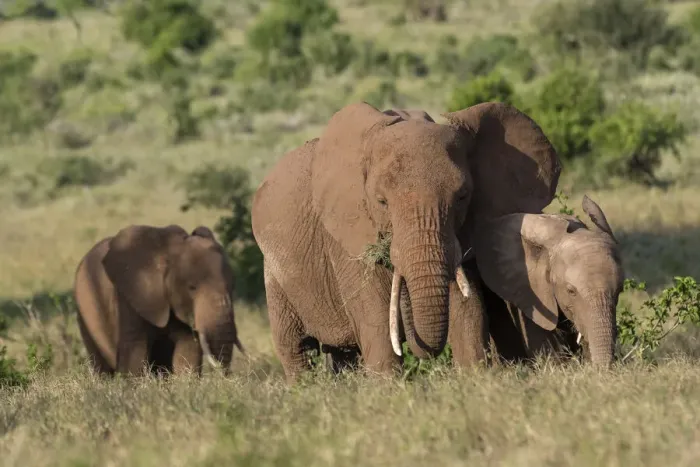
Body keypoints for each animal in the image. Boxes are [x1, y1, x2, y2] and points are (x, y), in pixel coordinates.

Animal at [73, 224, 245, 377]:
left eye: (233, 286)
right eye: (192, 287)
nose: (226, 375)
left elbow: (188, 350)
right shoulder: (131, 294)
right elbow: (135, 351)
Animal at [252, 100, 562, 382]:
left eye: (462, 196)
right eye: (381, 201)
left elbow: (467, 308)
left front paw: (475, 381)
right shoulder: (345, 237)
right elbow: (375, 315)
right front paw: (390, 392)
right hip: (274, 274)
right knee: (295, 347)